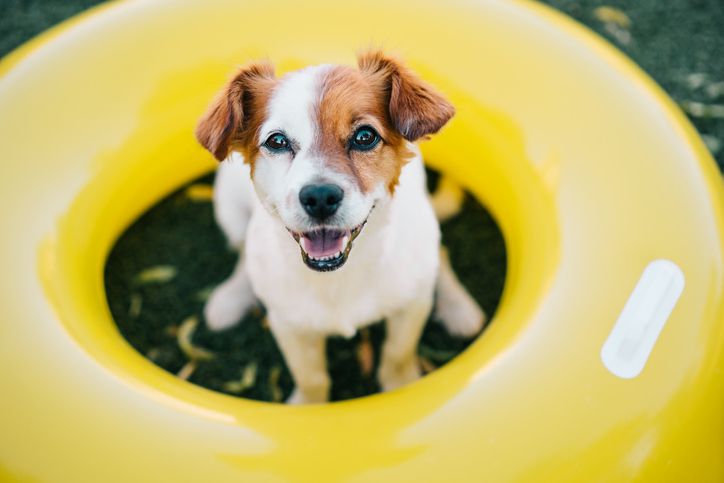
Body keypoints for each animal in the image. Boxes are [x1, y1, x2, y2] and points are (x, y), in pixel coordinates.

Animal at [195, 50, 484, 404]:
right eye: (277, 141)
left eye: (365, 136)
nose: (319, 197)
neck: (339, 277)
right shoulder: (288, 324)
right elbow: (312, 378)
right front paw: (308, 405)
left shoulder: (411, 308)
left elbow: (397, 355)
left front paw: (400, 387)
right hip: (230, 212)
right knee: (241, 255)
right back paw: (230, 297)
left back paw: (459, 307)